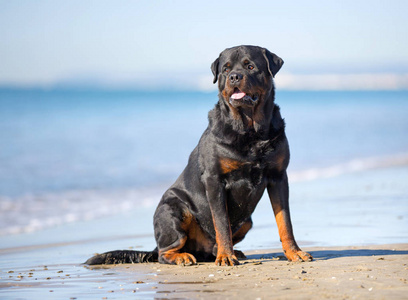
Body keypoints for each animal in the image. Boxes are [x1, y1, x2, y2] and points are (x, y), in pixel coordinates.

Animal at [87, 45, 312, 266]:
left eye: (250, 66)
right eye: (226, 69)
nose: (234, 77)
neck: (250, 131)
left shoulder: (278, 176)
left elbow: (285, 221)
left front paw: (294, 252)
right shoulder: (214, 180)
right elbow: (221, 223)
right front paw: (226, 256)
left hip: (246, 222)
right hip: (173, 209)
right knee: (164, 253)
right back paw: (184, 256)